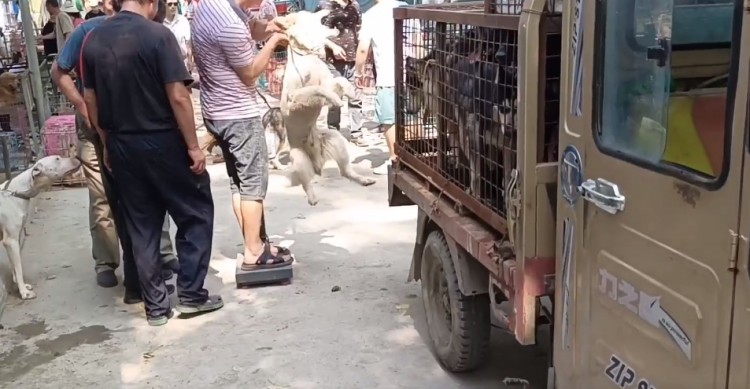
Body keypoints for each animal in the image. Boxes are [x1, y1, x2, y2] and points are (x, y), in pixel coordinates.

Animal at [0, 154, 81, 298]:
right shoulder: (11, 241)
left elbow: (13, 266)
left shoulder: (12, 239)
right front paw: (24, 292)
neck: (17, 191)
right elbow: (19, 268)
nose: (76, 157)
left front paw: (19, 285)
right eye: (57, 159)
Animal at [278, 9, 376, 205]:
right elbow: (316, 89)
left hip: (335, 139)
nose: (327, 9)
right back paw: (313, 198)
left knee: (345, 171)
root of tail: (317, 163)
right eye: (309, 13)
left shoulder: (328, 82)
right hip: (298, 158)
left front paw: (350, 92)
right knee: (306, 183)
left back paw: (364, 179)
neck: (307, 56)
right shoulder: (294, 99)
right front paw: (336, 100)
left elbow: (340, 80)